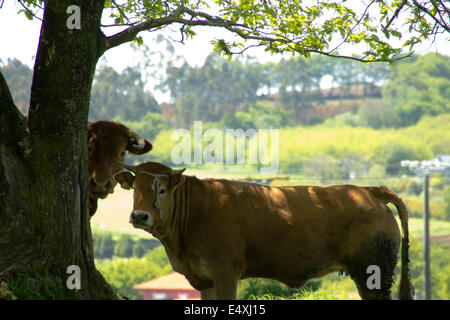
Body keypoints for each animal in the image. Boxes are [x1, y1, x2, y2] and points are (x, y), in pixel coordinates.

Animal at [117, 162, 414, 300]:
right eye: (134, 189)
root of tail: (368, 190)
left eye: (162, 190)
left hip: (373, 272)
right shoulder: (204, 280)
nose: (139, 215)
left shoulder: (225, 274)